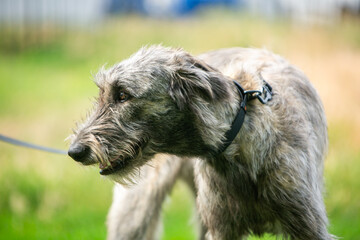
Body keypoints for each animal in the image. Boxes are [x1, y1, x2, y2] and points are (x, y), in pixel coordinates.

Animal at [67, 45, 332, 240]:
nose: (75, 151)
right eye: (103, 94)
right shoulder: (222, 229)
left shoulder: (309, 225)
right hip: (134, 211)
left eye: (123, 95)